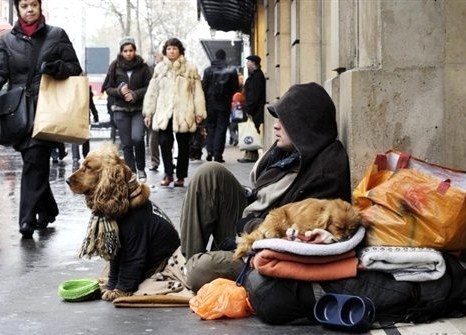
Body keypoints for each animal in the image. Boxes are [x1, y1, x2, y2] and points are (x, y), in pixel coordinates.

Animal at [235, 200, 366, 260]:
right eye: (338, 228)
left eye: (352, 230)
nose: (346, 237)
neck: (320, 211)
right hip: (280, 216)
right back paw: (274, 232)